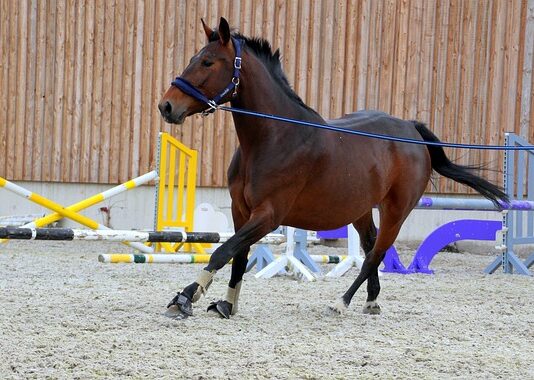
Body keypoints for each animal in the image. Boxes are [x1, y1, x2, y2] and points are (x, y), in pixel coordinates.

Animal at [158, 18, 506, 320]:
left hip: (396, 211)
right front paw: (226, 305)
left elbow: (223, 251)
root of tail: (410, 129)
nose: (167, 106)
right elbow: (238, 257)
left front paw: (185, 297)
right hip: (361, 210)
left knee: (376, 254)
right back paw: (372, 300)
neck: (274, 137)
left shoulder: (268, 215)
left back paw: (342, 302)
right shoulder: (240, 210)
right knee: (371, 245)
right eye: (194, 58)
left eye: (208, 62)